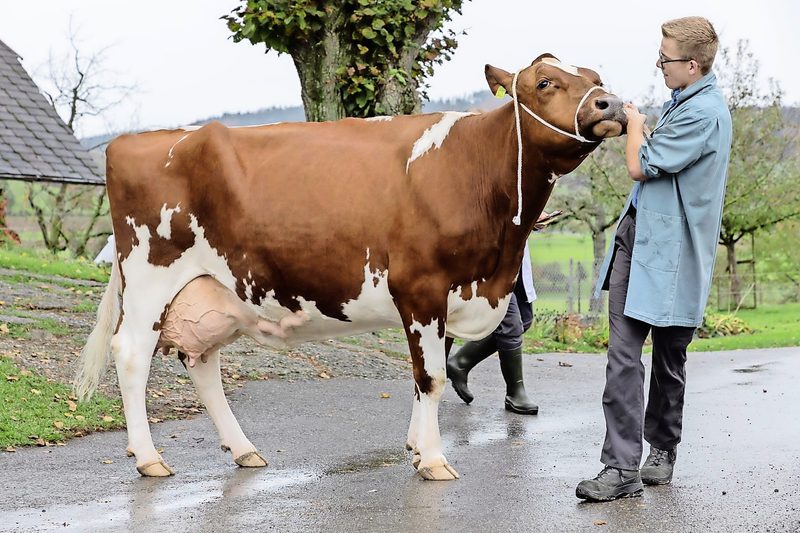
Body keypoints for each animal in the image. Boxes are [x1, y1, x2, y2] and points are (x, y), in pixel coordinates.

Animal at [76, 53, 627, 480]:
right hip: (150, 275)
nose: (612, 105)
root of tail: (133, 140)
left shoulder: (449, 295)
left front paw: (414, 448)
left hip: (214, 290)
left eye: (595, 74)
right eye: (545, 82)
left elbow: (423, 375)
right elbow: (431, 377)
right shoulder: (422, 287)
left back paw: (244, 450)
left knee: (201, 361)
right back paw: (149, 458)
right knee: (132, 353)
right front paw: (433, 459)